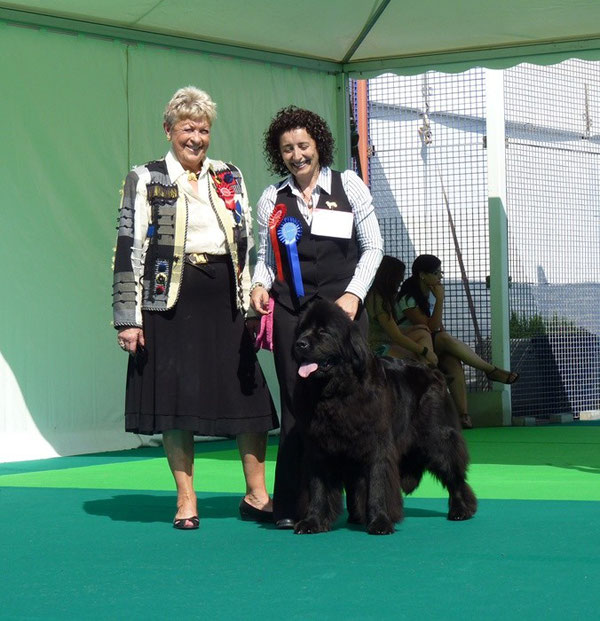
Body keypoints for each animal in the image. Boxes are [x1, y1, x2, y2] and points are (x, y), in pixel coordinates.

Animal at [292, 300, 476, 532]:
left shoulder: (377, 444)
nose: (299, 344)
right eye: (301, 330)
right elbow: (317, 488)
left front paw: (380, 521)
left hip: (437, 436)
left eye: (323, 332)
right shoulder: (318, 447)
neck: (336, 393)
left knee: (453, 474)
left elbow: (378, 483)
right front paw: (312, 521)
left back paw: (461, 510)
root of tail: (434, 370)